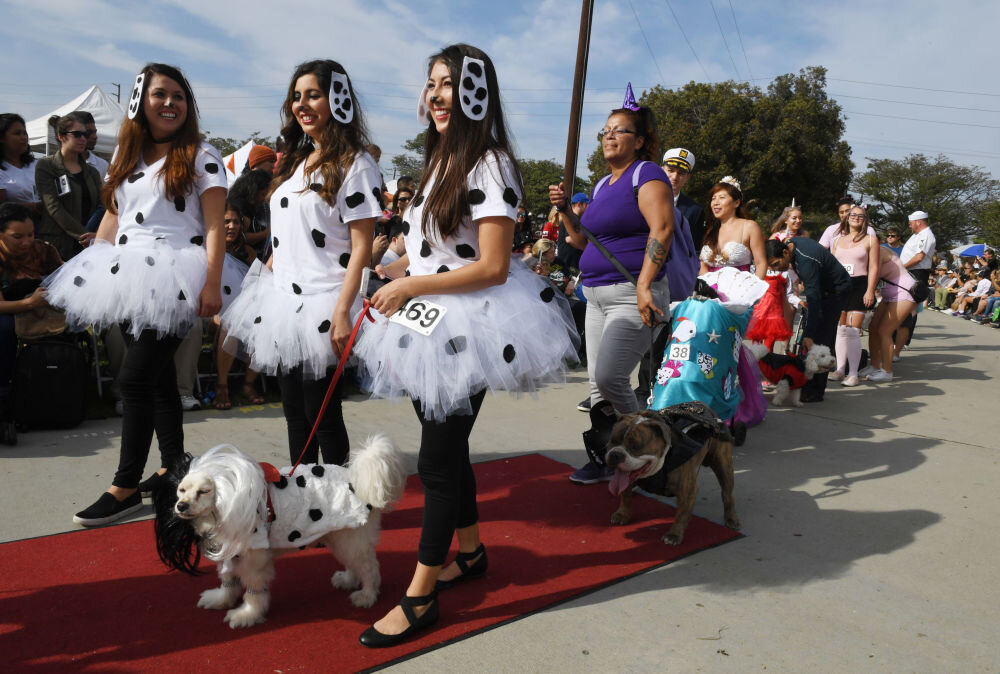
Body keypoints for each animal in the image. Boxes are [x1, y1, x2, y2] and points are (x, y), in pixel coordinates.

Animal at [152, 434, 406, 628]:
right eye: (181, 490)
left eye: (204, 491)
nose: (181, 506)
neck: (226, 505)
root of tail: (358, 478)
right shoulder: (230, 551)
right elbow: (228, 580)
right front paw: (221, 599)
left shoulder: (254, 560)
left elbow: (254, 590)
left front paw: (247, 614)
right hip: (341, 536)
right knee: (356, 564)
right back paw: (349, 580)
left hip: (351, 539)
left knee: (370, 568)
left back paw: (367, 595)